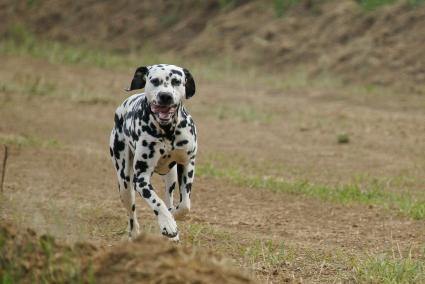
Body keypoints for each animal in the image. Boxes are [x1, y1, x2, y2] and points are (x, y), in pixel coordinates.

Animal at [108, 63, 196, 241]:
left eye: (176, 81)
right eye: (154, 81)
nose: (165, 96)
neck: (167, 131)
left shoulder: (187, 164)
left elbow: (185, 205)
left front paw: (173, 217)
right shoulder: (141, 179)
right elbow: (157, 202)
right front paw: (168, 224)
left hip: (171, 177)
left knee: (169, 198)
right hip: (125, 183)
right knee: (132, 214)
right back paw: (135, 234)